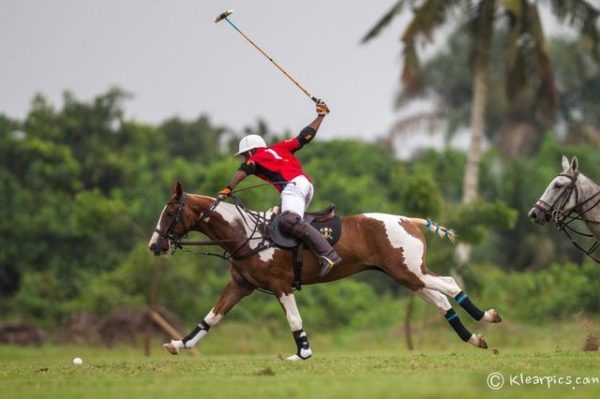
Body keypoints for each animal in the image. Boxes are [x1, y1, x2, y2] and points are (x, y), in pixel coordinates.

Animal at [148, 183, 500, 360]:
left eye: (169, 213)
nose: (154, 245)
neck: (247, 234)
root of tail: (407, 220)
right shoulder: (240, 285)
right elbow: (211, 318)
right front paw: (178, 345)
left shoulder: (281, 285)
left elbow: (294, 320)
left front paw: (302, 352)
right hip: (405, 275)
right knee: (441, 301)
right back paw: (475, 339)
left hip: (410, 271)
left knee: (450, 284)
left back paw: (488, 316)